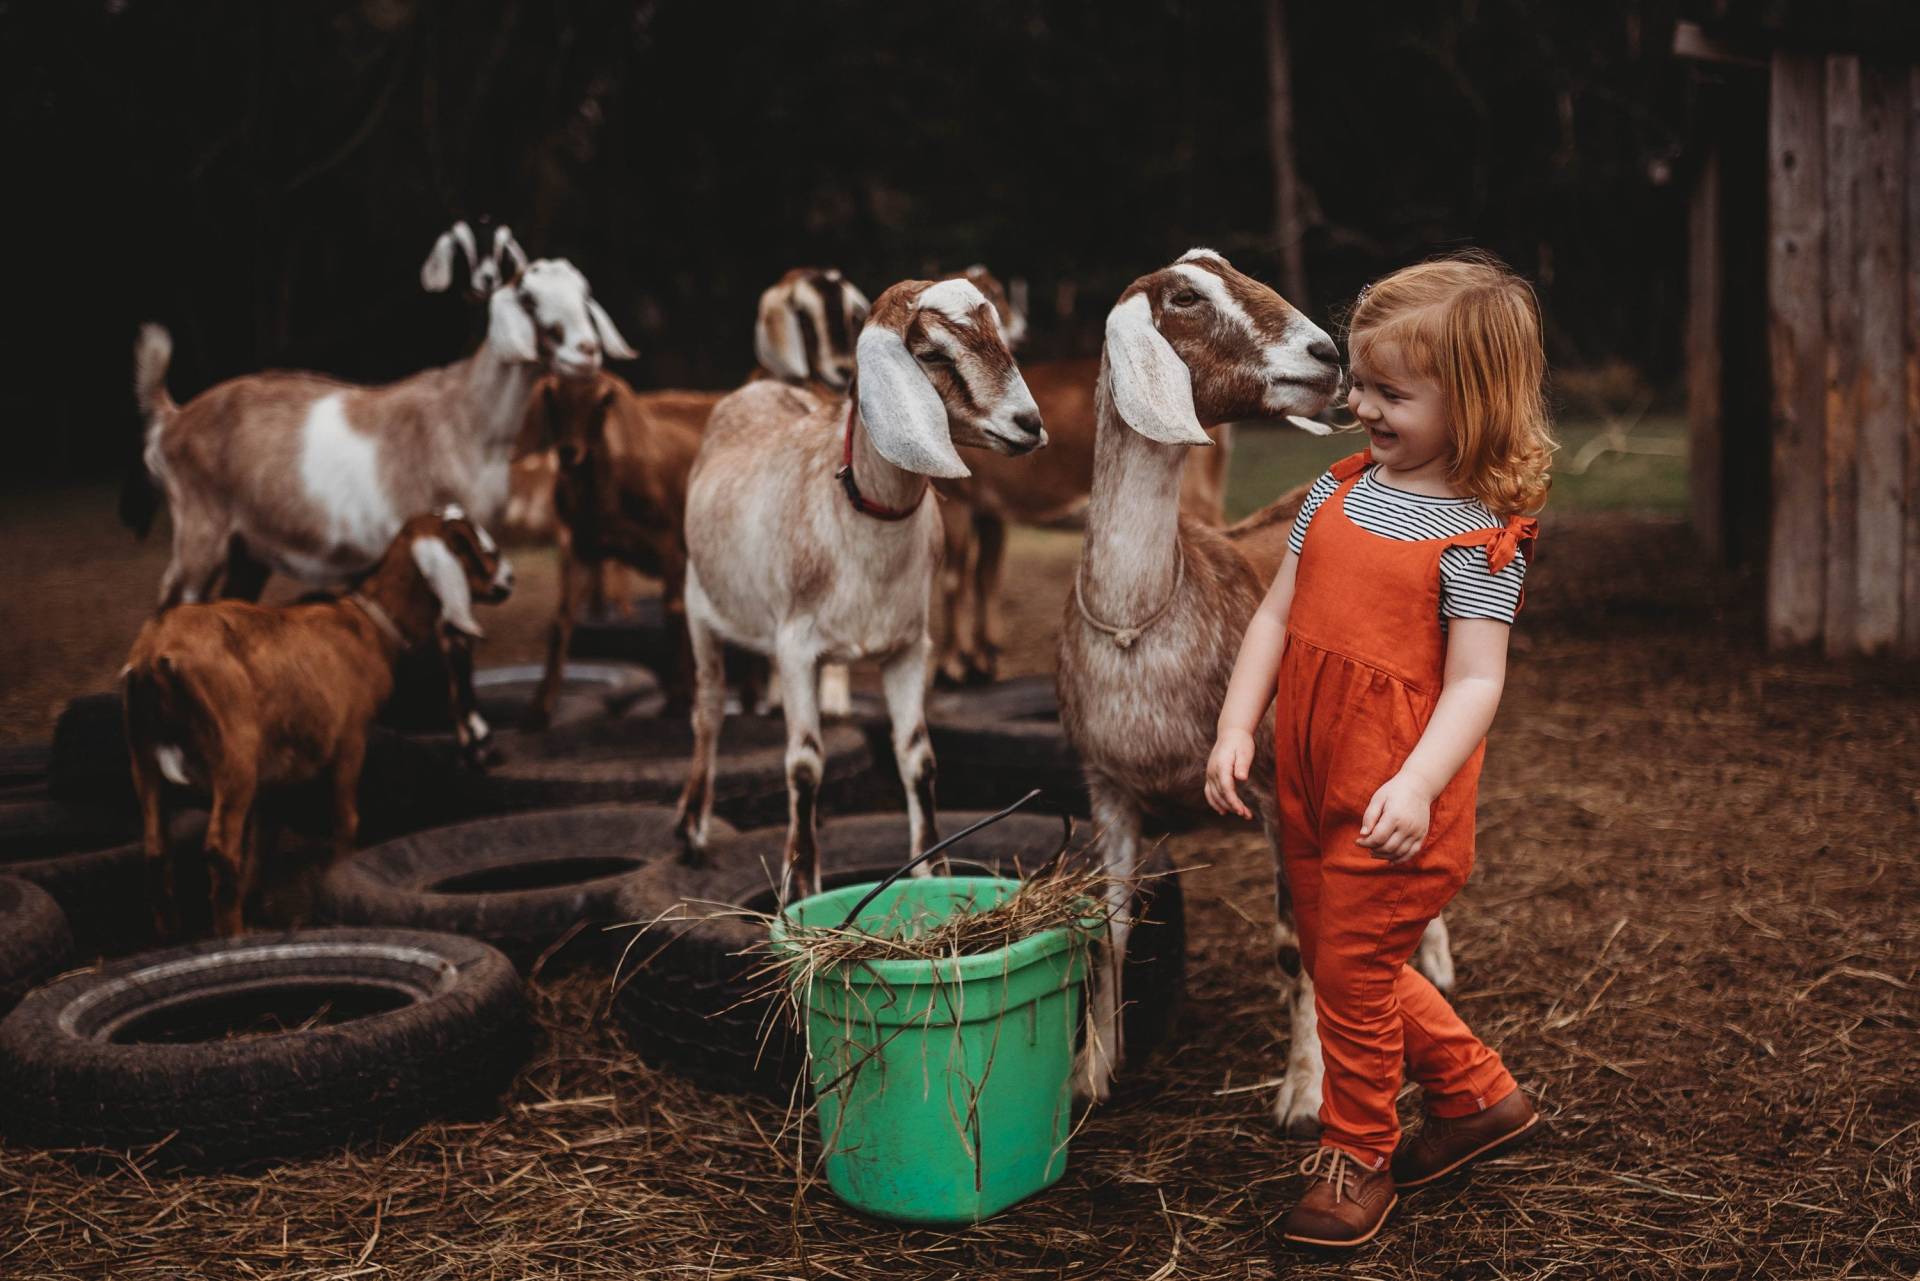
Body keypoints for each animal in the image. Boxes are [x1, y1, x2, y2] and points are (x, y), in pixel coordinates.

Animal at [122, 507, 514, 937]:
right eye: (474, 545)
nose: (508, 580)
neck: (368, 625)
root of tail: (157, 654)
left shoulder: (273, 768)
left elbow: (265, 831)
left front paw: (256, 900)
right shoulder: (350, 738)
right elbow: (345, 819)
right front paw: (341, 872)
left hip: (144, 757)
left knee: (157, 850)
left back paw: (171, 935)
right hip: (233, 755)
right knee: (219, 848)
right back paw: (233, 935)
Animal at [672, 278, 1036, 902]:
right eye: (932, 353)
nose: (1029, 422)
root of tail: (764, 387)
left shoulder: (908, 646)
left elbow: (918, 758)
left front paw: (932, 870)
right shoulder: (796, 647)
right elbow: (804, 765)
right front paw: (800, 885)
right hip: (702, 608)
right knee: (709, 712)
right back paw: (693, 827)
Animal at [1059, 249, 1459, 1129]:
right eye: (1185, 294)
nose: (1324, 353)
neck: (1142, 615)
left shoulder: (1278, 785)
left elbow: (1290, 940)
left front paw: (1305, 1089)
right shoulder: (1107, 788)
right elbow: (1107, 934)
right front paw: (1091, 1071)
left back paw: (1436, 961)